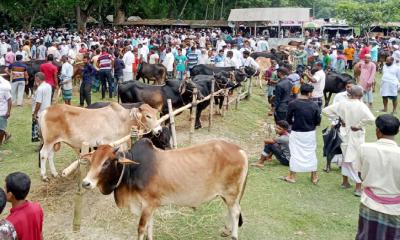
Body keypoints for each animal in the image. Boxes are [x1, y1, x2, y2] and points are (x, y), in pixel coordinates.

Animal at [81, 139, 248, 240]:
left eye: (106, 162)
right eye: (92, 159)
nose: (86, 183)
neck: (133, 169)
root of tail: (240, 150)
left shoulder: (147, 205)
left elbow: (141, 228)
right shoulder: (149, 206)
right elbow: (150, 226)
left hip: (231, 193)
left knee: (235, 212)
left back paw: (233, 235)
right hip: (227, 195)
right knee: (231, 210)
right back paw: (226, 230)